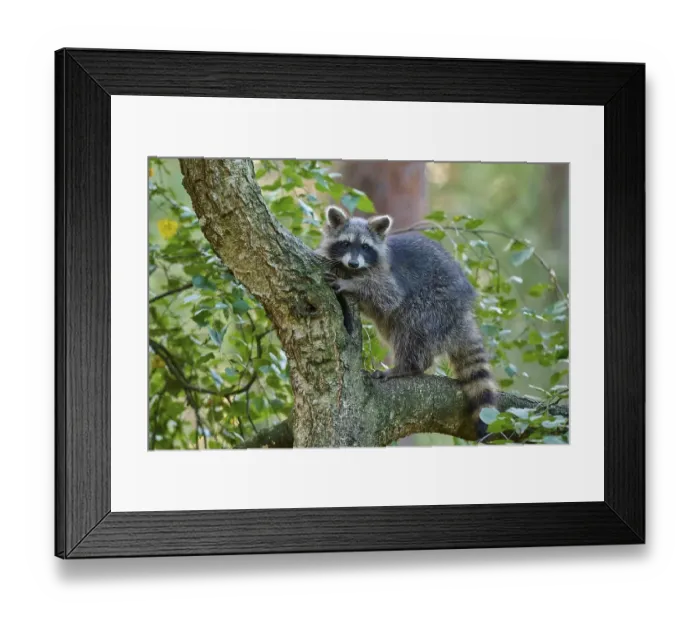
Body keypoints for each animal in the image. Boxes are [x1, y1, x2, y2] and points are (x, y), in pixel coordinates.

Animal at [317, 205, 497, 434]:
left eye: (365, 247)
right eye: (346, 243)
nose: (354, 263)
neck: (352, 269)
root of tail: (461, 313)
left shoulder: (388, 276)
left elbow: (387, 295)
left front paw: (352, 285)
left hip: (436, 304)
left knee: (411, 328)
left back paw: (407, 366)